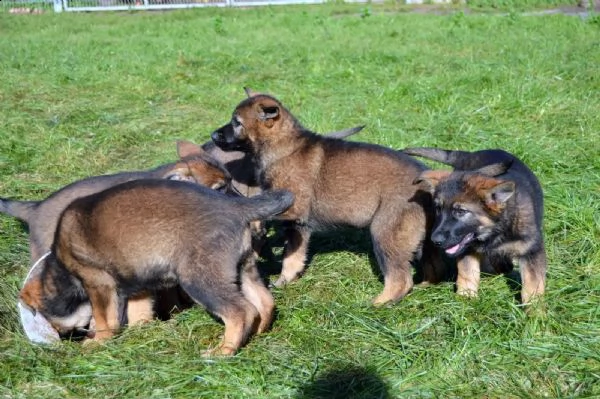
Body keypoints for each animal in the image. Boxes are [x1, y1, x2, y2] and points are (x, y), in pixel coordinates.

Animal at [21, 181, 296, 356]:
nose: (64, 338)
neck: (59, 271)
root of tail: (235, 206)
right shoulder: (137, 286)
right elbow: (139, 312)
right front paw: (139, 333)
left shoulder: (97, 281)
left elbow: (104, 318)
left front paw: (99, 342)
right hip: (243, 269)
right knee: (264, 302)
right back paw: (257, 333)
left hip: (199, 278)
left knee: (241, 311)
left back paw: (223, 351)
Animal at [212, 89, 446, 304]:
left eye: (237, 122)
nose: (213, 136)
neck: (281, 145)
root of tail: (427, 180)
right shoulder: (299, 226)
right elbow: (292, 258)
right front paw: (284, 282)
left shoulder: (294, 210)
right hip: (423, 239)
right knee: (431, 265)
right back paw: (424, 286)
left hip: (385, 231)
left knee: (400, 279)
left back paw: (376, 305)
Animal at [408, 148, 548, 304]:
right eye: (438, 209)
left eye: (461, 211)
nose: (435, 240)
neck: (494, 232)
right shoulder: (466, 249)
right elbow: (468, 271)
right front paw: (466, 297)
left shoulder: (531, 251)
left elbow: (533, 285)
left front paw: (535, 308)